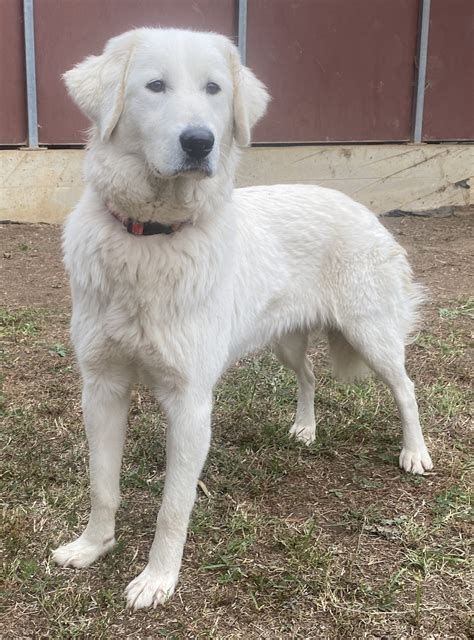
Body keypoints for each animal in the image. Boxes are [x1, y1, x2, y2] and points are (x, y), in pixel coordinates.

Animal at [51, 28, 434, 608]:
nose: (199, 142)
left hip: (370, 335)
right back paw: (304, 428)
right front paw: (94, 546)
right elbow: (102, 484)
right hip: (284, 341)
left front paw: (158, 579)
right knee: (310, 374)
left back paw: (414, 453)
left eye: (214, 89)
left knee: (406, 388)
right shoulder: (102, 388)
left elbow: (172, 508)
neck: (151, 237)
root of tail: (359, 207)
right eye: (155, 86)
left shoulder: (190, 404)